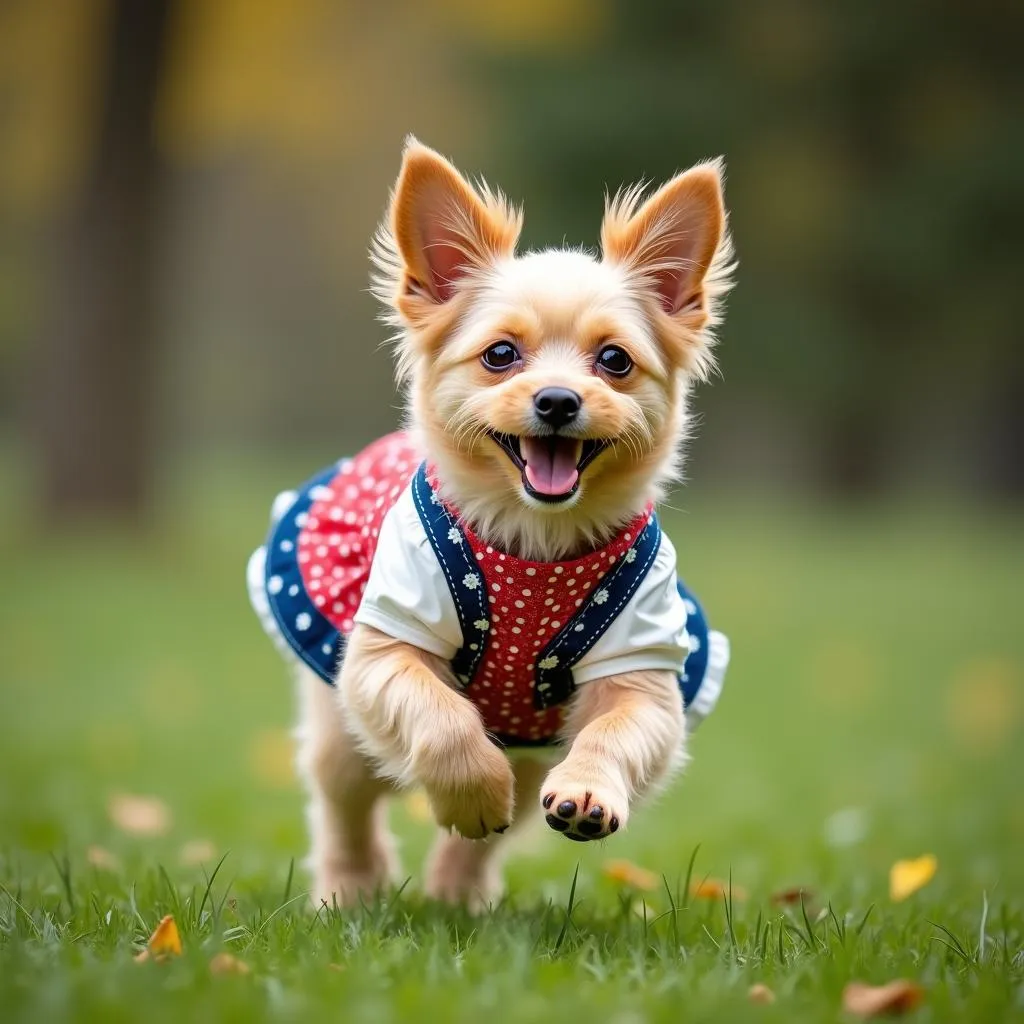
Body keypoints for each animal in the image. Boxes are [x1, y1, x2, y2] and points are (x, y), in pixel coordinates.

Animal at [246, 138, 729, 913]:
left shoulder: (645, 671)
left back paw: (457, 897)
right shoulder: (381, 648)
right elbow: (442, 722)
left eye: (615, 360)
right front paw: (469, 793)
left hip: (534, 753)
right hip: (341, 732)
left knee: (502, 821)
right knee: (346, 809)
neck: (534, 542)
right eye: (501, 354)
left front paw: (587, 793)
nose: (558, 399)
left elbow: (616, 730)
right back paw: (352, 893)